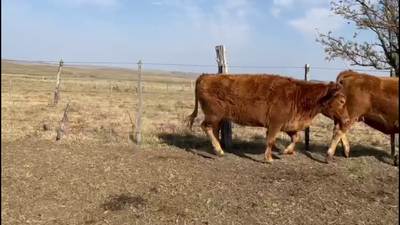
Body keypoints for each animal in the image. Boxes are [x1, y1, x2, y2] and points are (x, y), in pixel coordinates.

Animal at [186, 74, 348, 163]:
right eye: (342, 101)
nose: (347, 120)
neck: (299, 95)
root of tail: (205, 76)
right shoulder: (275, 124)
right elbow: (270, 140)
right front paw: (269, 158)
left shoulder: (288, 124)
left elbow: (296, 138)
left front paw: (285, 151)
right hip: (214, 115)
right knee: (205, 126)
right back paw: (218, 150)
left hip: (219, 118)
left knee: (215, 130)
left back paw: (217, 149)